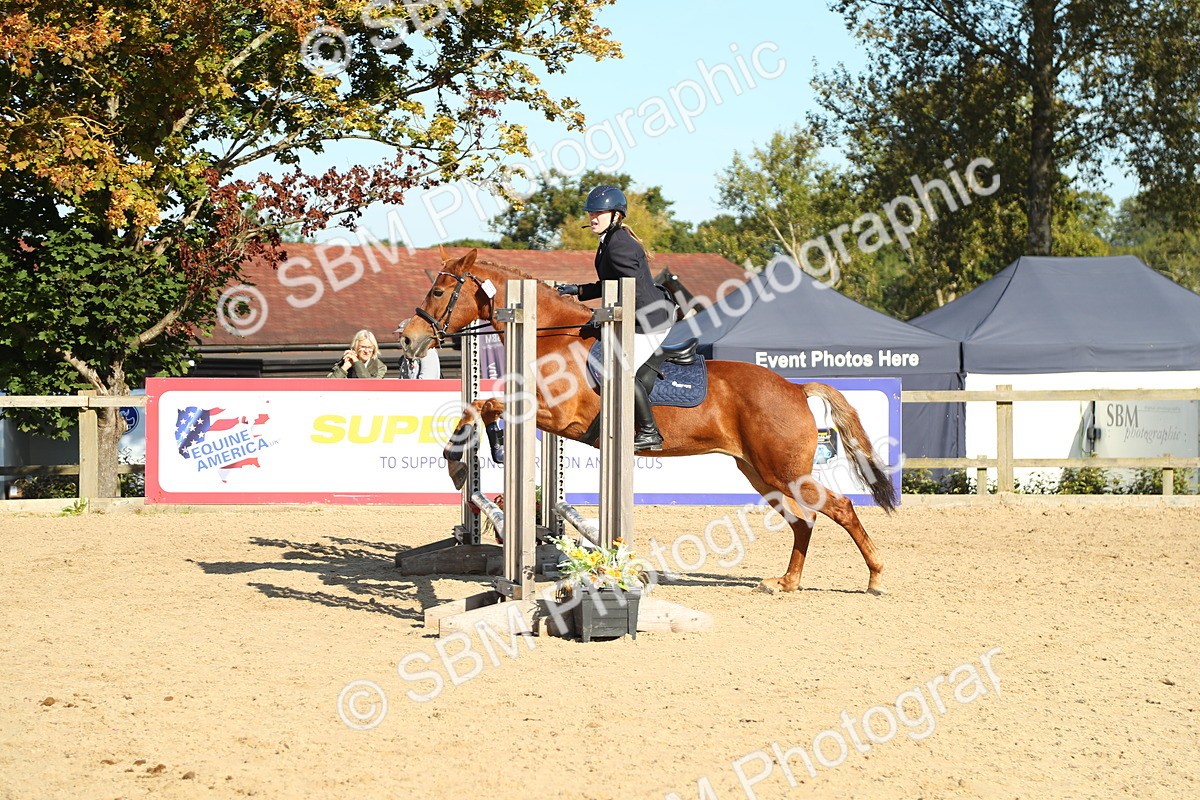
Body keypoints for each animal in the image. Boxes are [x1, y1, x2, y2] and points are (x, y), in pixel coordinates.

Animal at [398, 249, 896, 594]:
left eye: (438, 293)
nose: (408, 338)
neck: (551, 336)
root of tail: (795, 388)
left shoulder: (559, 417)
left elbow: (486, 406)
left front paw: (463, 459)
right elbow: (480, 406)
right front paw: (470, 455)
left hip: (783, 470)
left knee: (838, 508)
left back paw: (875, 577)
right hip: (760, 472)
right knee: (803, 520)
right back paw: (787, 583)